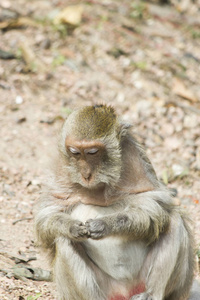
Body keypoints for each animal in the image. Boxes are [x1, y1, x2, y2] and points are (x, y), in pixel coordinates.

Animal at [34, 104, 200, 298]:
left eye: (92, 152)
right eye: (75, 152)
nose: (86, 174)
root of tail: (125, 293)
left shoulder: (136, 160)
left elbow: (153, 205)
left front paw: (107, 224)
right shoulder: (60, 171)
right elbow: (47, 215)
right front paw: (72, 227)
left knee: (173, 220)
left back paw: (151, 294)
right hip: (106, 288)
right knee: (64, 239)